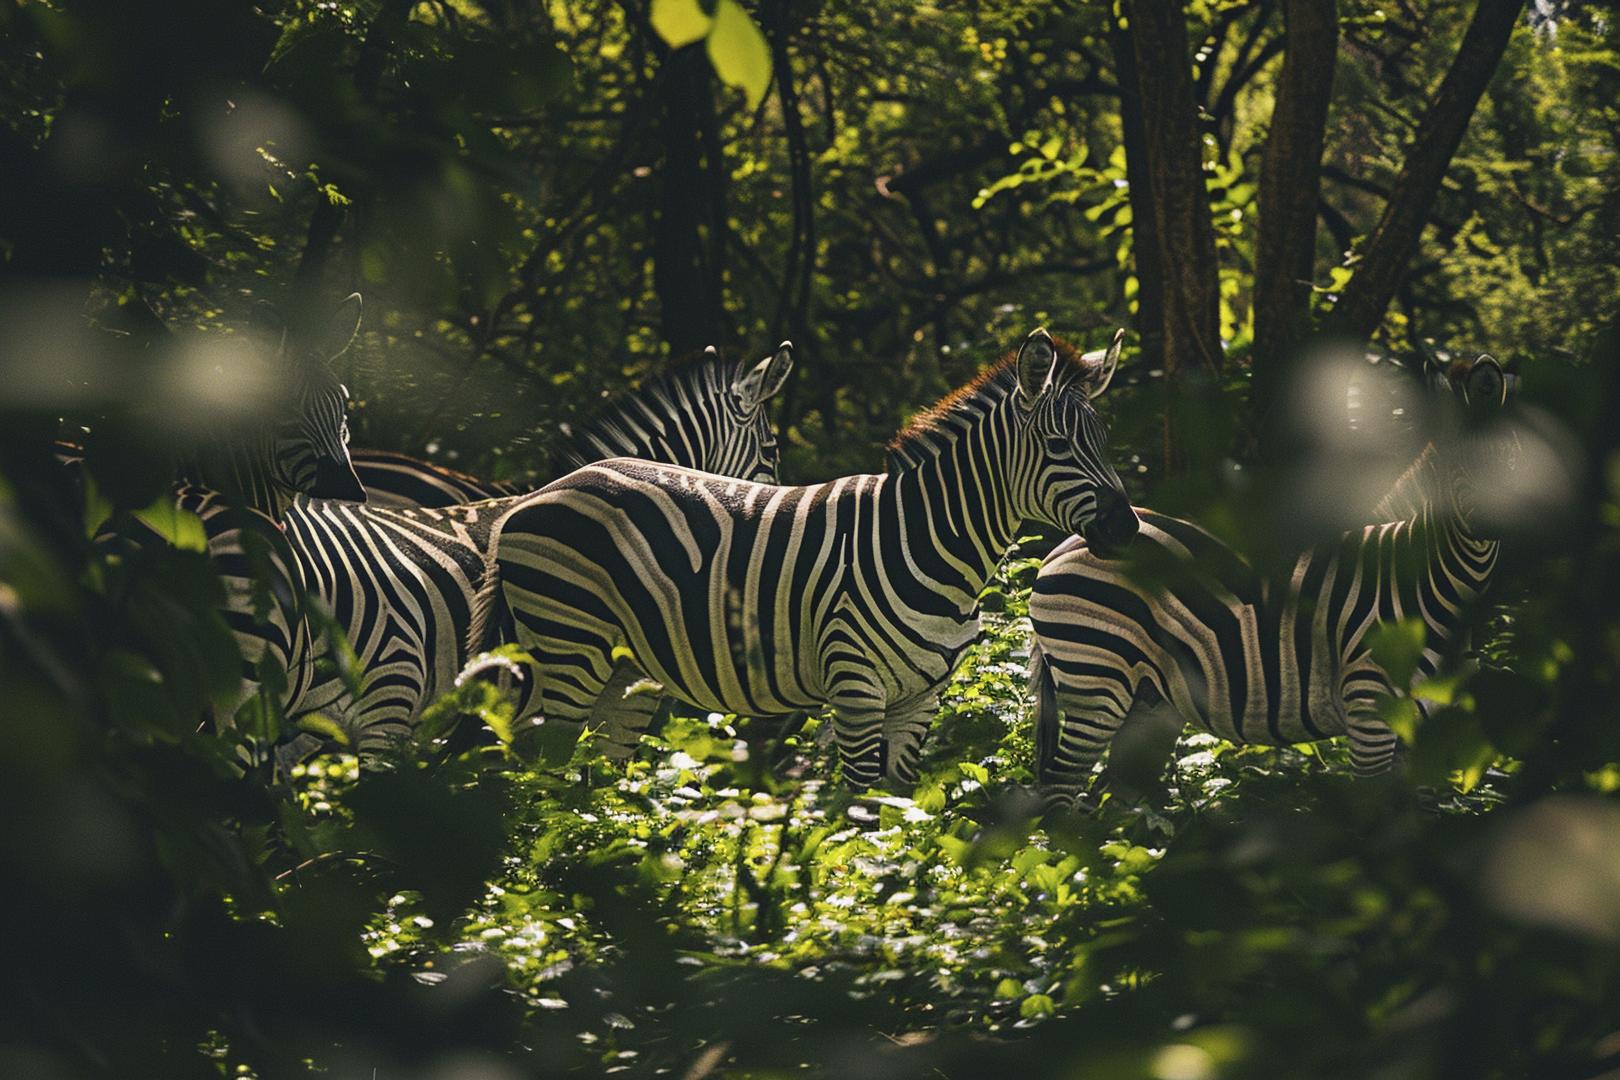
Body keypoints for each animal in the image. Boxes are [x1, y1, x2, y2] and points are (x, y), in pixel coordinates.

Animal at [491, 327, 1138, 790]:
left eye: (1103, 442)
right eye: (1058, 445)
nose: (1128, 528)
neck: (927, 541)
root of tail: (542, 492)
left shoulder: (920, 702)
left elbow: (895, 819)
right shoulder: (854, 690)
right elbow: (857, 814)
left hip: (621, 671)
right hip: (567, 645)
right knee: (537, 766)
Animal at [1026, 353, 1513, 807]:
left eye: (1515, 458)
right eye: (1460, 466)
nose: (1506, 520)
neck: (1421, 578)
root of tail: (1063, 545)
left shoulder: (1424, 724)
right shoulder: (1370, 709)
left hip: (1144, 699)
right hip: (1096, 676)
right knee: (1060, 788)